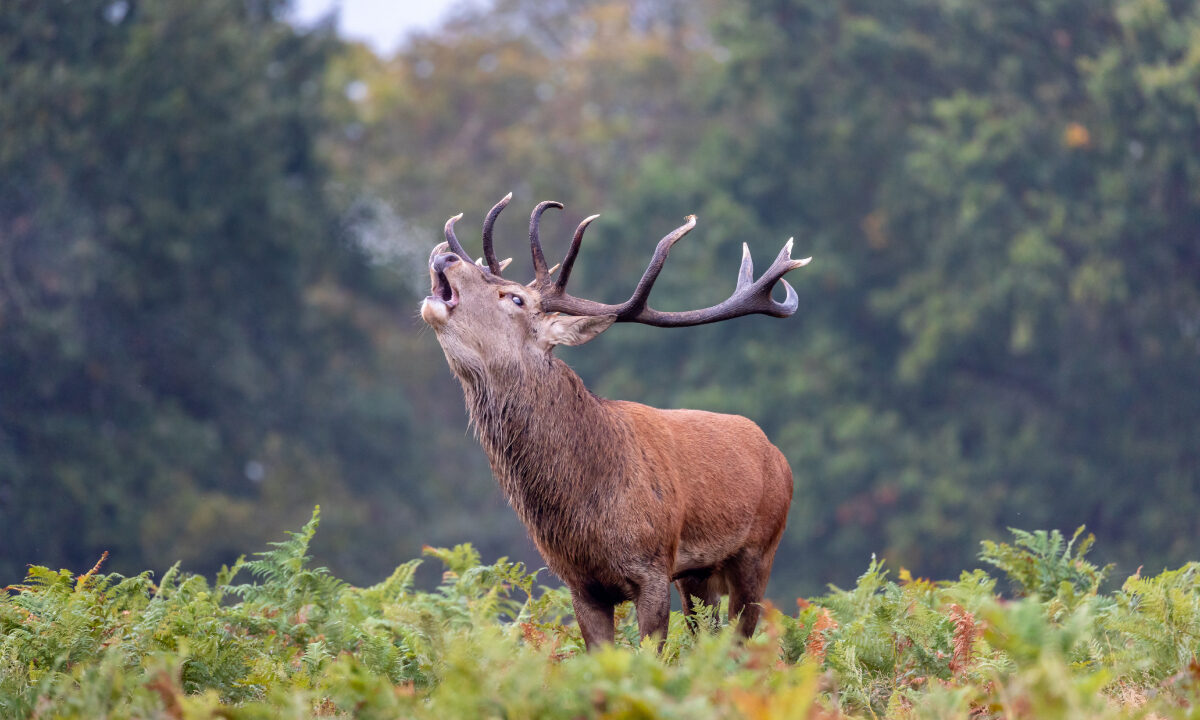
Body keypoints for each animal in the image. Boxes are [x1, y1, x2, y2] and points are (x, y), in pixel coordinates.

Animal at [419, 194, 810, 649]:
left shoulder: (653, 567)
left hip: (759, 549)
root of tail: (777, 455)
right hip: (698, 574)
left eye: (515, 298)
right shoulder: (579, 584)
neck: (586, 513)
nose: (445, 256)